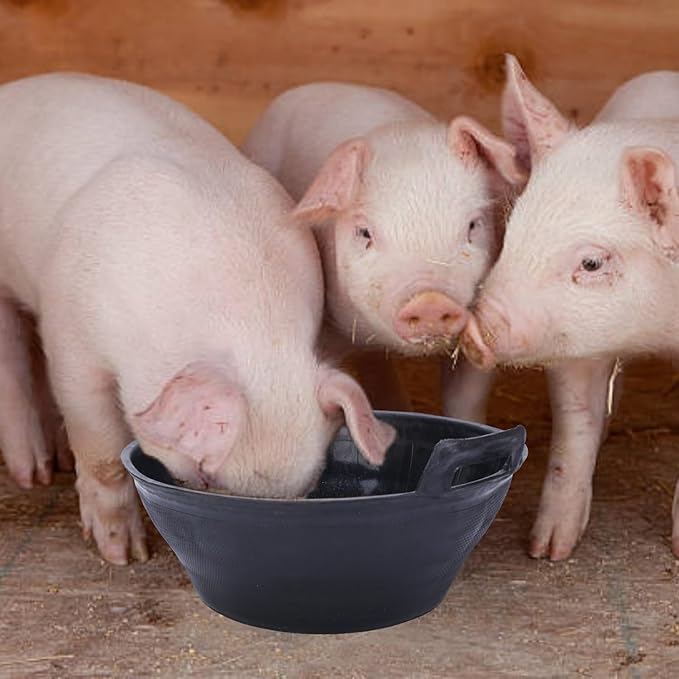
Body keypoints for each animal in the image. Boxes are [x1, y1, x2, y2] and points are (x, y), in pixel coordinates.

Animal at [0, 73, 395, 565]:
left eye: (306, 491)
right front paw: (125, 555)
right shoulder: (71, 337)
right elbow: (102, 452)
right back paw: (32, 474)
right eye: (205, 476)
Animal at [462, 54, 679, 558]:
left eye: (592, 262)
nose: (476, 327)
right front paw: (547, 550)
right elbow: (575, 422)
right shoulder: (574, 343)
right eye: (514, 231)